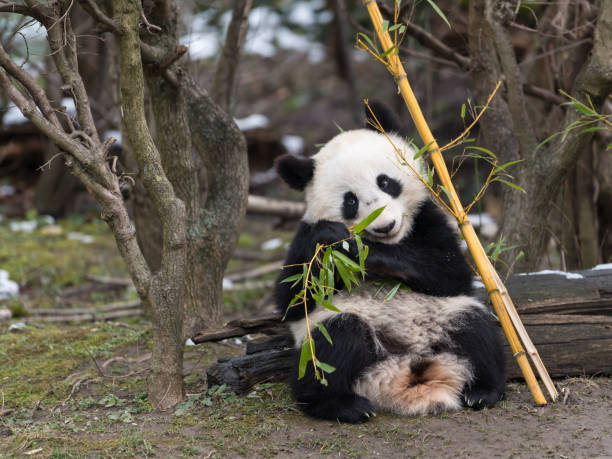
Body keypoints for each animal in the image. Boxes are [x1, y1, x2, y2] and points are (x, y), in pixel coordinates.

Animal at [274, 103, 504, 424]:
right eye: (350, 201)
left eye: (385, 182)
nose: (385, 226)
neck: (394, 240)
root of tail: (408, 369)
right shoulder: (304, 237)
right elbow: (292, 299)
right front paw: (337, 240)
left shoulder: (429, 219)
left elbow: (452, 272)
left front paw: (362, 252)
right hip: (340, 336)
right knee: (335, 342)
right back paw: (341, 405)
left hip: (444, 317)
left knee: (476, 331)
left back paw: (483, 391)